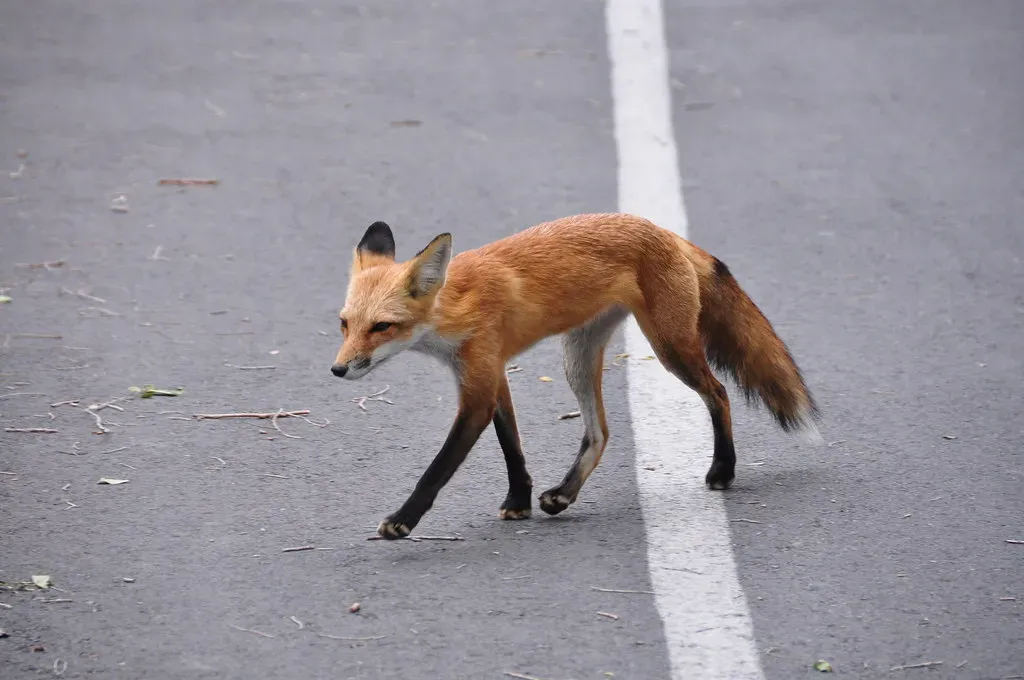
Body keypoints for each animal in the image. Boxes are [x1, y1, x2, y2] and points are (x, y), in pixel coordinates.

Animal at [331, 213, 821, 540]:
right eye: (345, 324)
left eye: (382, 327)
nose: (337, 369)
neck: (456, 307)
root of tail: (666, 232)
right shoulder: (490, 373)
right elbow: (512, 447)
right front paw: (519, 501)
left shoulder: (477, 389)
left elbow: (438, 468)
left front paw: (402, 520)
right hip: (578, 356)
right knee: (600, 431)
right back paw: (564, 494)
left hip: (670, 348)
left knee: (718, 393)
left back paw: (723, 470)